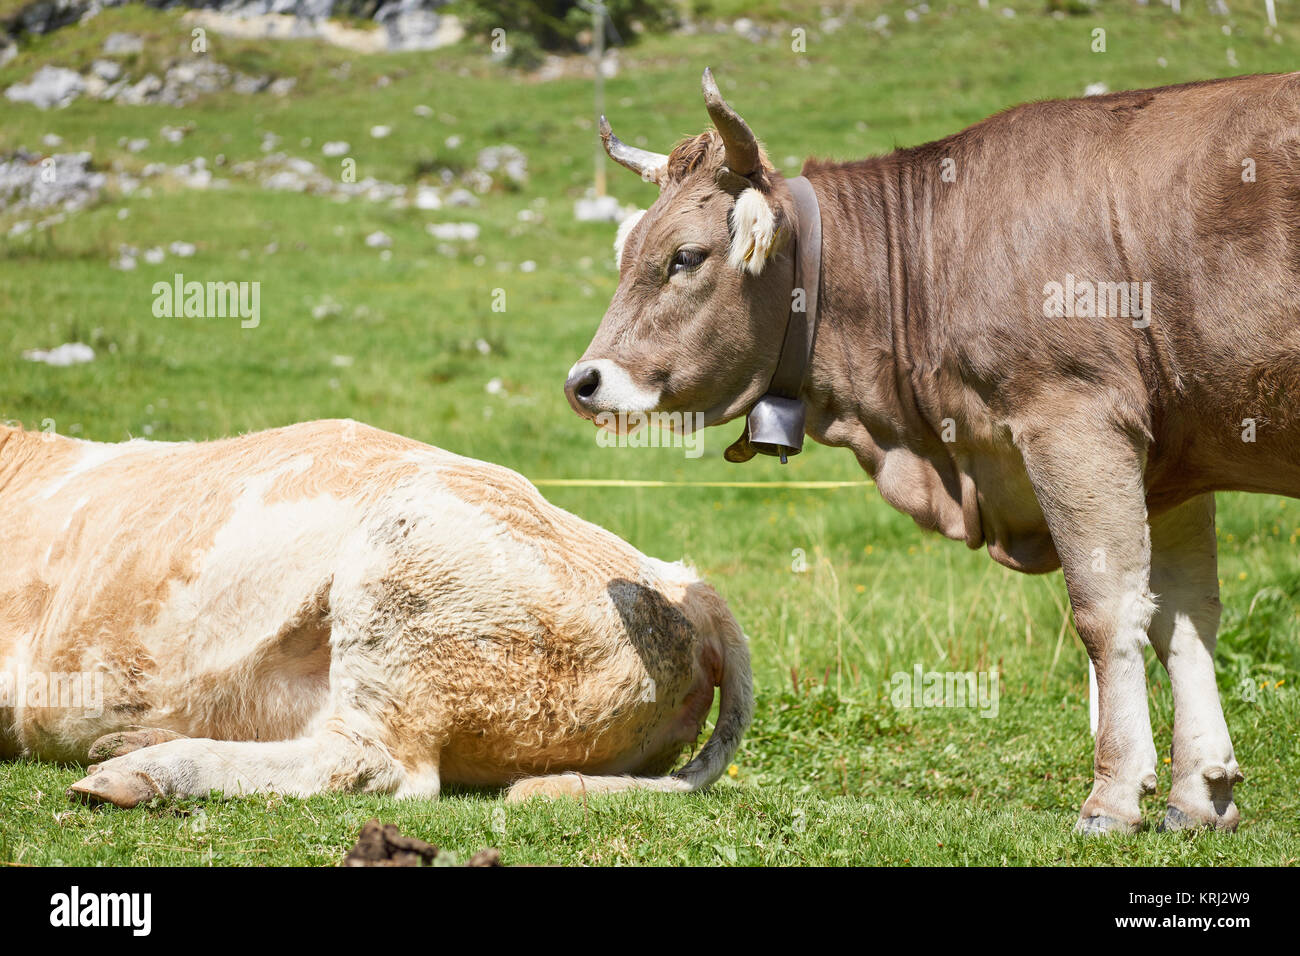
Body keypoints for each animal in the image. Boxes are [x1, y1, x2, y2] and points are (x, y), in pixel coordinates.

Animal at [566, 68, 1300, 834]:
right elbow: (1184, 618)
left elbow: (1107, 609)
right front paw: (1200, 793)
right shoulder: (1174, 468)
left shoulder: (1077, 418)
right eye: (627, 255)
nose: (582, 382)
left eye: (684, 257)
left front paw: (1115, 795)